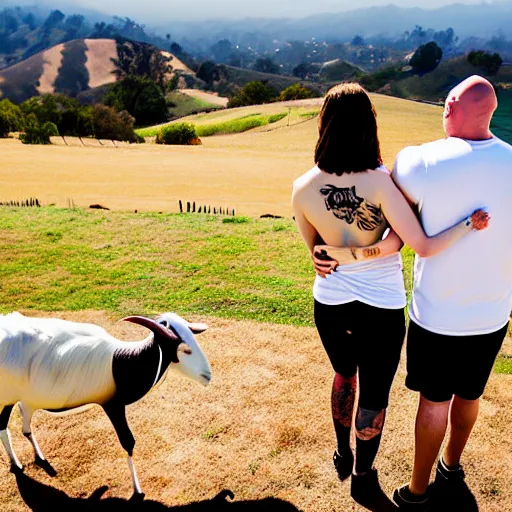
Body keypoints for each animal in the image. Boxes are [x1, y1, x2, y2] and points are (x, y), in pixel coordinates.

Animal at [0, 312, 212, 496]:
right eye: (185, 350)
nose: (207, 376)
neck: (122, 362)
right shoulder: (113, 406)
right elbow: (128, 443)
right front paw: (137, 490)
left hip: (28, 397)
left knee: (25, 420)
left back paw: (40, 456)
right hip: (6, 399)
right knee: (3, 428)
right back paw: (16, 464)